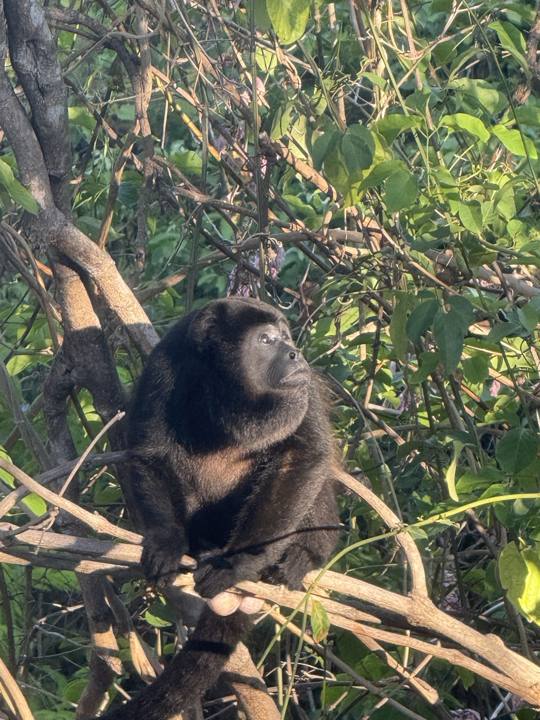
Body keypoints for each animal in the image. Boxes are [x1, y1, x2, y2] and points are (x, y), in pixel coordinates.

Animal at [95, 297, 340, 720]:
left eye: (286, 337)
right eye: (266, 339)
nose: (295, 353)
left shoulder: (301, 391)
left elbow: (303, 456)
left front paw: (235, 564)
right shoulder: (165, 366)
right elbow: (151, 454)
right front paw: (166, 542)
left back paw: (302, 555)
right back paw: (201, 545)